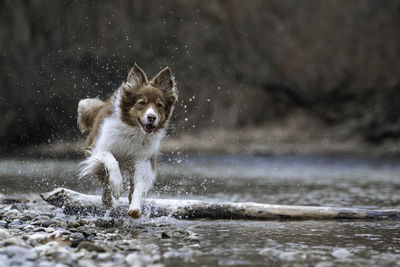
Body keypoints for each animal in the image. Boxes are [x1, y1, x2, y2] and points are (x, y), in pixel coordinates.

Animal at [77, 65, 177, 220]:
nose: (151, 117)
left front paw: (135, 207)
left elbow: (139, 184)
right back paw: (110, 201)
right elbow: (111, 160)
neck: (134, 130)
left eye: (159, 105)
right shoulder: (98, 149)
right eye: (141, 103)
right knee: (105, 184)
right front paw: (117, 186)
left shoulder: (143, 159)